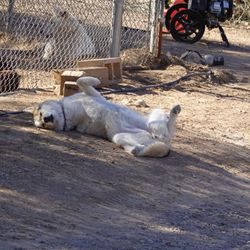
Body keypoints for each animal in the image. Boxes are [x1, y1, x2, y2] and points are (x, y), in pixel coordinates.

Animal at [33, 77, 181, 157]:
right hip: (119, 137)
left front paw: (97, 80)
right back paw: (138, 148)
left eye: (40, 113)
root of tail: (165, 146)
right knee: (158, 138)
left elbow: (81, 81)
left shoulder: (94, 95)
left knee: (166, 125)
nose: (45, 120)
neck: (65, 111)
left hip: (155, 115)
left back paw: (173, 112)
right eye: (42, 125)